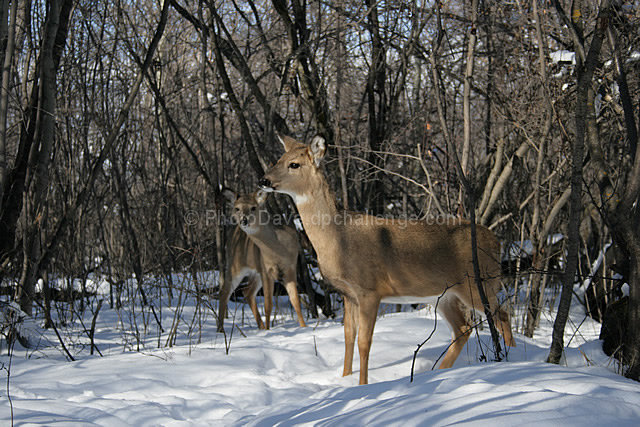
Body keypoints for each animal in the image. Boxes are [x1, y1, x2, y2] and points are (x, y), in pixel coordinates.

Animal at [218, 191, 308, 334]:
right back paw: (220, 329)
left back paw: (260, 326)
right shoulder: (266, 270)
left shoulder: (291, 268)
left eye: (253, 207)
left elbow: (295, 301)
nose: (244, 220)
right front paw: (268, 330)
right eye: (237, 208)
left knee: (247, 292)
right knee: (224, 291)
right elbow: (268, 305)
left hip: (256, 271)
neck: (278, 251)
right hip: (235, 265)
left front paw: (304, 327)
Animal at [260, 133, 516, 384]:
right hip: (445, 295)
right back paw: (438, 372)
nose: (263, 180)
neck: (338, 238)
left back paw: (512, 360)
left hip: (478, 283)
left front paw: (362, 386)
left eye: (294, 164)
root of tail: (496, 242)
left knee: (502, 316)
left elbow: (364, 342)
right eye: (279, 159)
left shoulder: (369, 290)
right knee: (463, 328)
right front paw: (344, 380)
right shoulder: (348, 294)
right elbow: (348, 337)